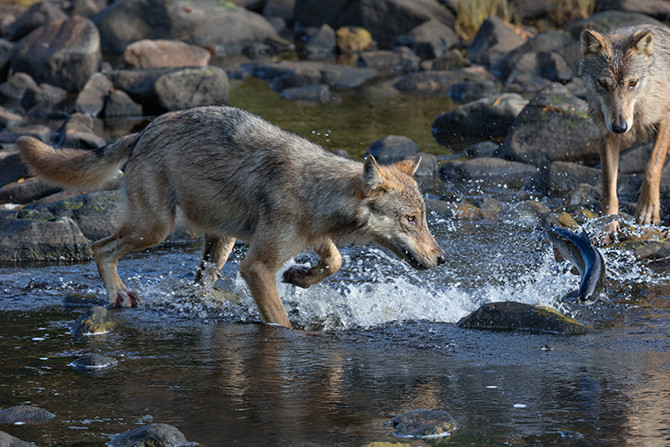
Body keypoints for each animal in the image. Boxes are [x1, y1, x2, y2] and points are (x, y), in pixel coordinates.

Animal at [17, 105, 446, 328]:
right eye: (411, 220)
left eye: (423, 217)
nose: (442, 258)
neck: (317, 191)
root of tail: (145, 129)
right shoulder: (256, 267)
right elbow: (280, 320)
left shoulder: (311, 239)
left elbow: (335, 260)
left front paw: (300, 277)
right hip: (154, 230)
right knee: (100, 246)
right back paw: (119, 295)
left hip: (220, 242)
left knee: (199, 283)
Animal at [580, 25, 670, 236]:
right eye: (603, 84)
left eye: (632, 83)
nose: (620, 127)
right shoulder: (607, 133)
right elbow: (608, 185)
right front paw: (607, 225)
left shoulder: (665, 119)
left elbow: (652, 167)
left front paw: (648, 208)